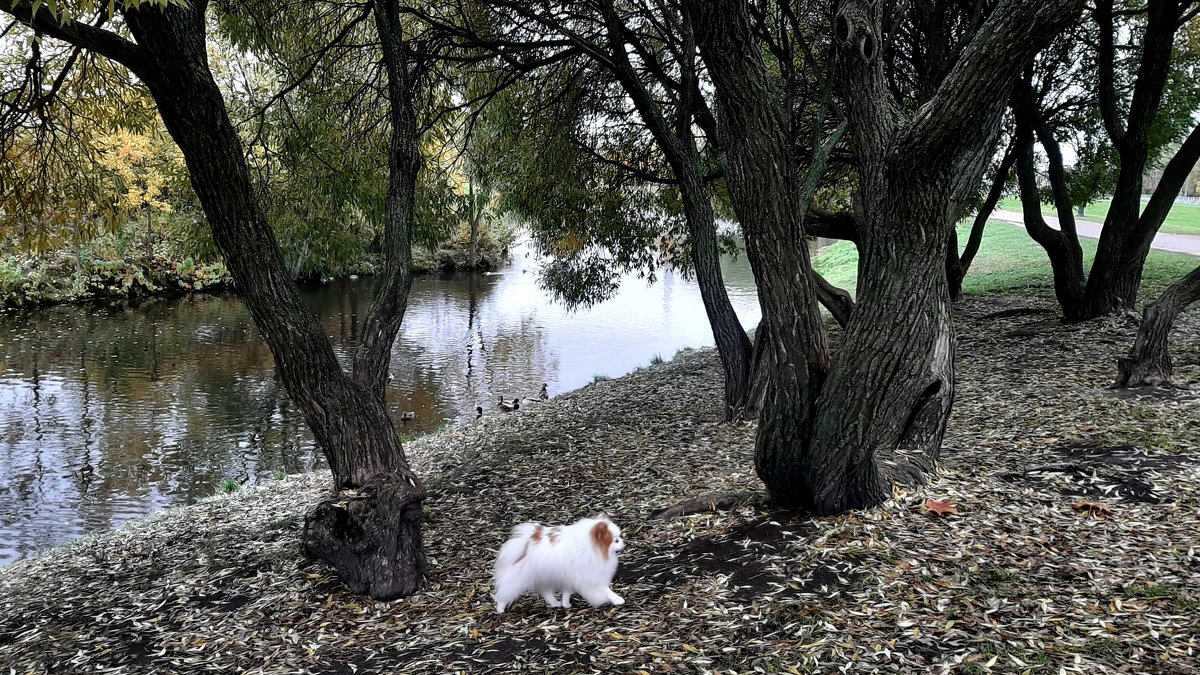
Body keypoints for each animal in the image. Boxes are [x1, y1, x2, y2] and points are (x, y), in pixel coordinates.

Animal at [494, 514, 633, 610]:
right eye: (615, 540)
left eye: (619, 537)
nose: (624, 542)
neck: (593, 547)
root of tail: (525, 543)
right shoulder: (589, 575)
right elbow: (605, 589)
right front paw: (617, 599)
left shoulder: (570, 576)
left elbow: (567, 592)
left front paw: (565, 603)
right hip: (518, 578)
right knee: (505, 592)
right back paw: (500, 609)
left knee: (546, 592)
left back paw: (555, 603)